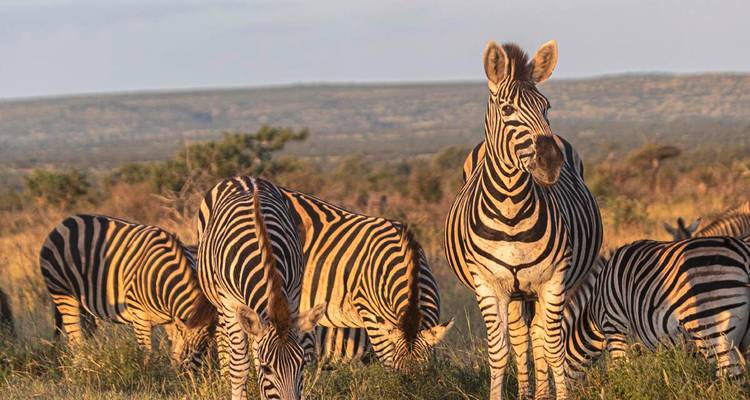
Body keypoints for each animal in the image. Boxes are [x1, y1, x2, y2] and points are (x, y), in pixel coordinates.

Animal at [39, 214, 216, 370]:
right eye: (195, 350)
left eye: (208, 349)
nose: (194, 379)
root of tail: (63, 223)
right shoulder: (139, 316)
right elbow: (147, 353)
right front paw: (149, 377)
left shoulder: (171, 320)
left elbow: (175, 351)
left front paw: (171, 374)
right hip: (62, 293)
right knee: (75, 339)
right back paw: (81, 368)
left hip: (84, 305)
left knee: (85, 334)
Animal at [196, 177, 326, 400]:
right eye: (268, 369)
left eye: (301, 365)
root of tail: (242, 177)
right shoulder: (230, 303)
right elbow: (240, 367)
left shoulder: (293, 295)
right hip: (219, 301)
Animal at [444, 40, 603, 399]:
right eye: (506, 109)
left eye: (547, 107)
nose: (550, 162)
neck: (511, 209)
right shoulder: (488, 285)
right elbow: (499, 351)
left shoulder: (554, 280)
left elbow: (553, 347)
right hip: (514, 293)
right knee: (520, 336)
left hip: (535, 290)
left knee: (538, 336)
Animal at [564, 237, 750, 379]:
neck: (595, 309)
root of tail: (743, 255)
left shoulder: (615, 328)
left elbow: (623, 372)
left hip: (712, 329)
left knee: (732, 381)